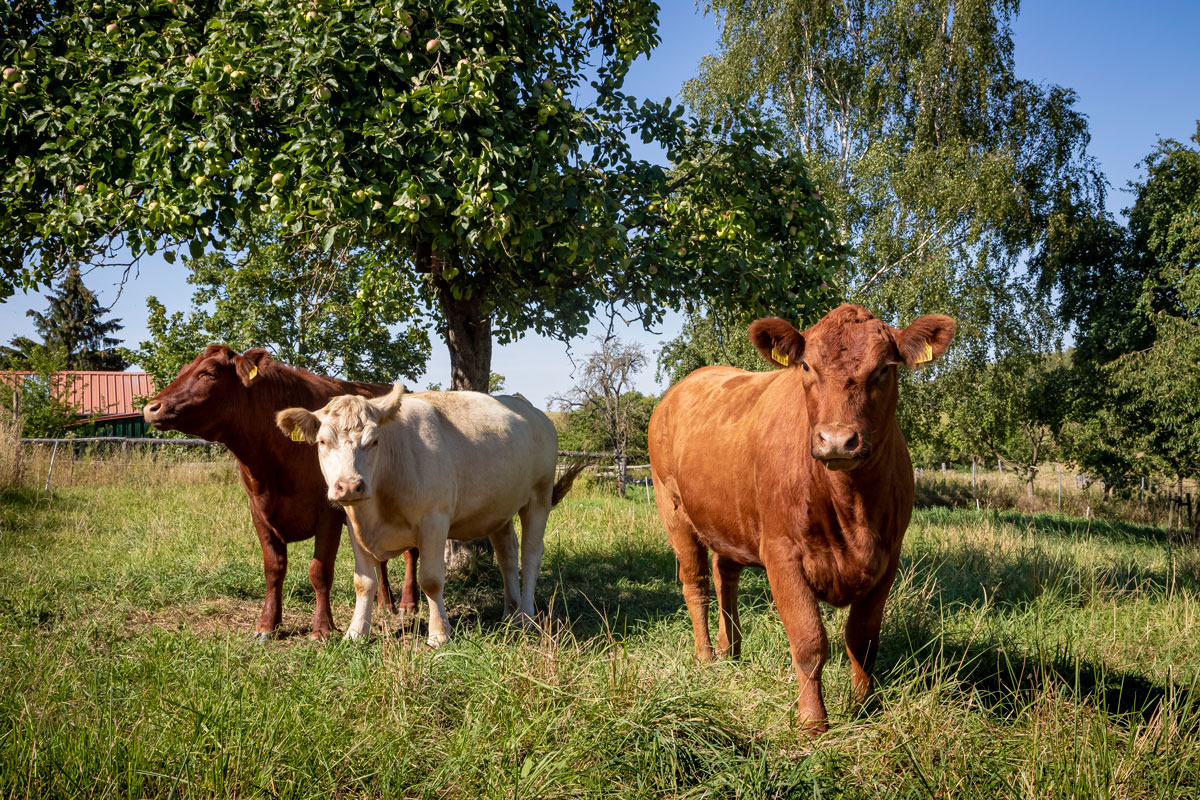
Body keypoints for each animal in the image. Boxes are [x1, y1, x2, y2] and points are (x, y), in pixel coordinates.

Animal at [142, 347, 417, 642]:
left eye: (208, 373)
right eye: (184, 369)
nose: (151, 407)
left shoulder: (329, 513)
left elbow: (320, 570)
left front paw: (322, 628)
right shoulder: (259, 512)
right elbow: (274, 569)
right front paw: (266, 625)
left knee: (410, 554)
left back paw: (407, 604)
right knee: (380, 560)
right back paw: (385, 603)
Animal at [277, 383, 585, 647]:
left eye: (374, 441)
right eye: (322, 442)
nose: (350, 485)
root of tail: (528, 408)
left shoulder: (434, 520)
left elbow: (431, 579)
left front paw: (439, 634)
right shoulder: (354, 523)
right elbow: (363, 582)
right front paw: (356, 632)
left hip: (538, 496)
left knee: (531, 555)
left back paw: (525, 616)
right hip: (500, 507)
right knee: (507, 554)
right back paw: (510, 611)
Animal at [652, 303, 950, 734]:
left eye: (884, 368)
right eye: (807, 366)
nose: (838, 440)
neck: (851, 504)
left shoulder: (888, 557)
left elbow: (863, 638)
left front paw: (864, 707)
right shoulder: (781, 553)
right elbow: (809, 641)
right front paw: (813, 722)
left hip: (729, 517)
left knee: (725, 576)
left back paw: (731, 651)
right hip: (673, 510)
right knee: (696, 584)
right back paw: (706, 657)